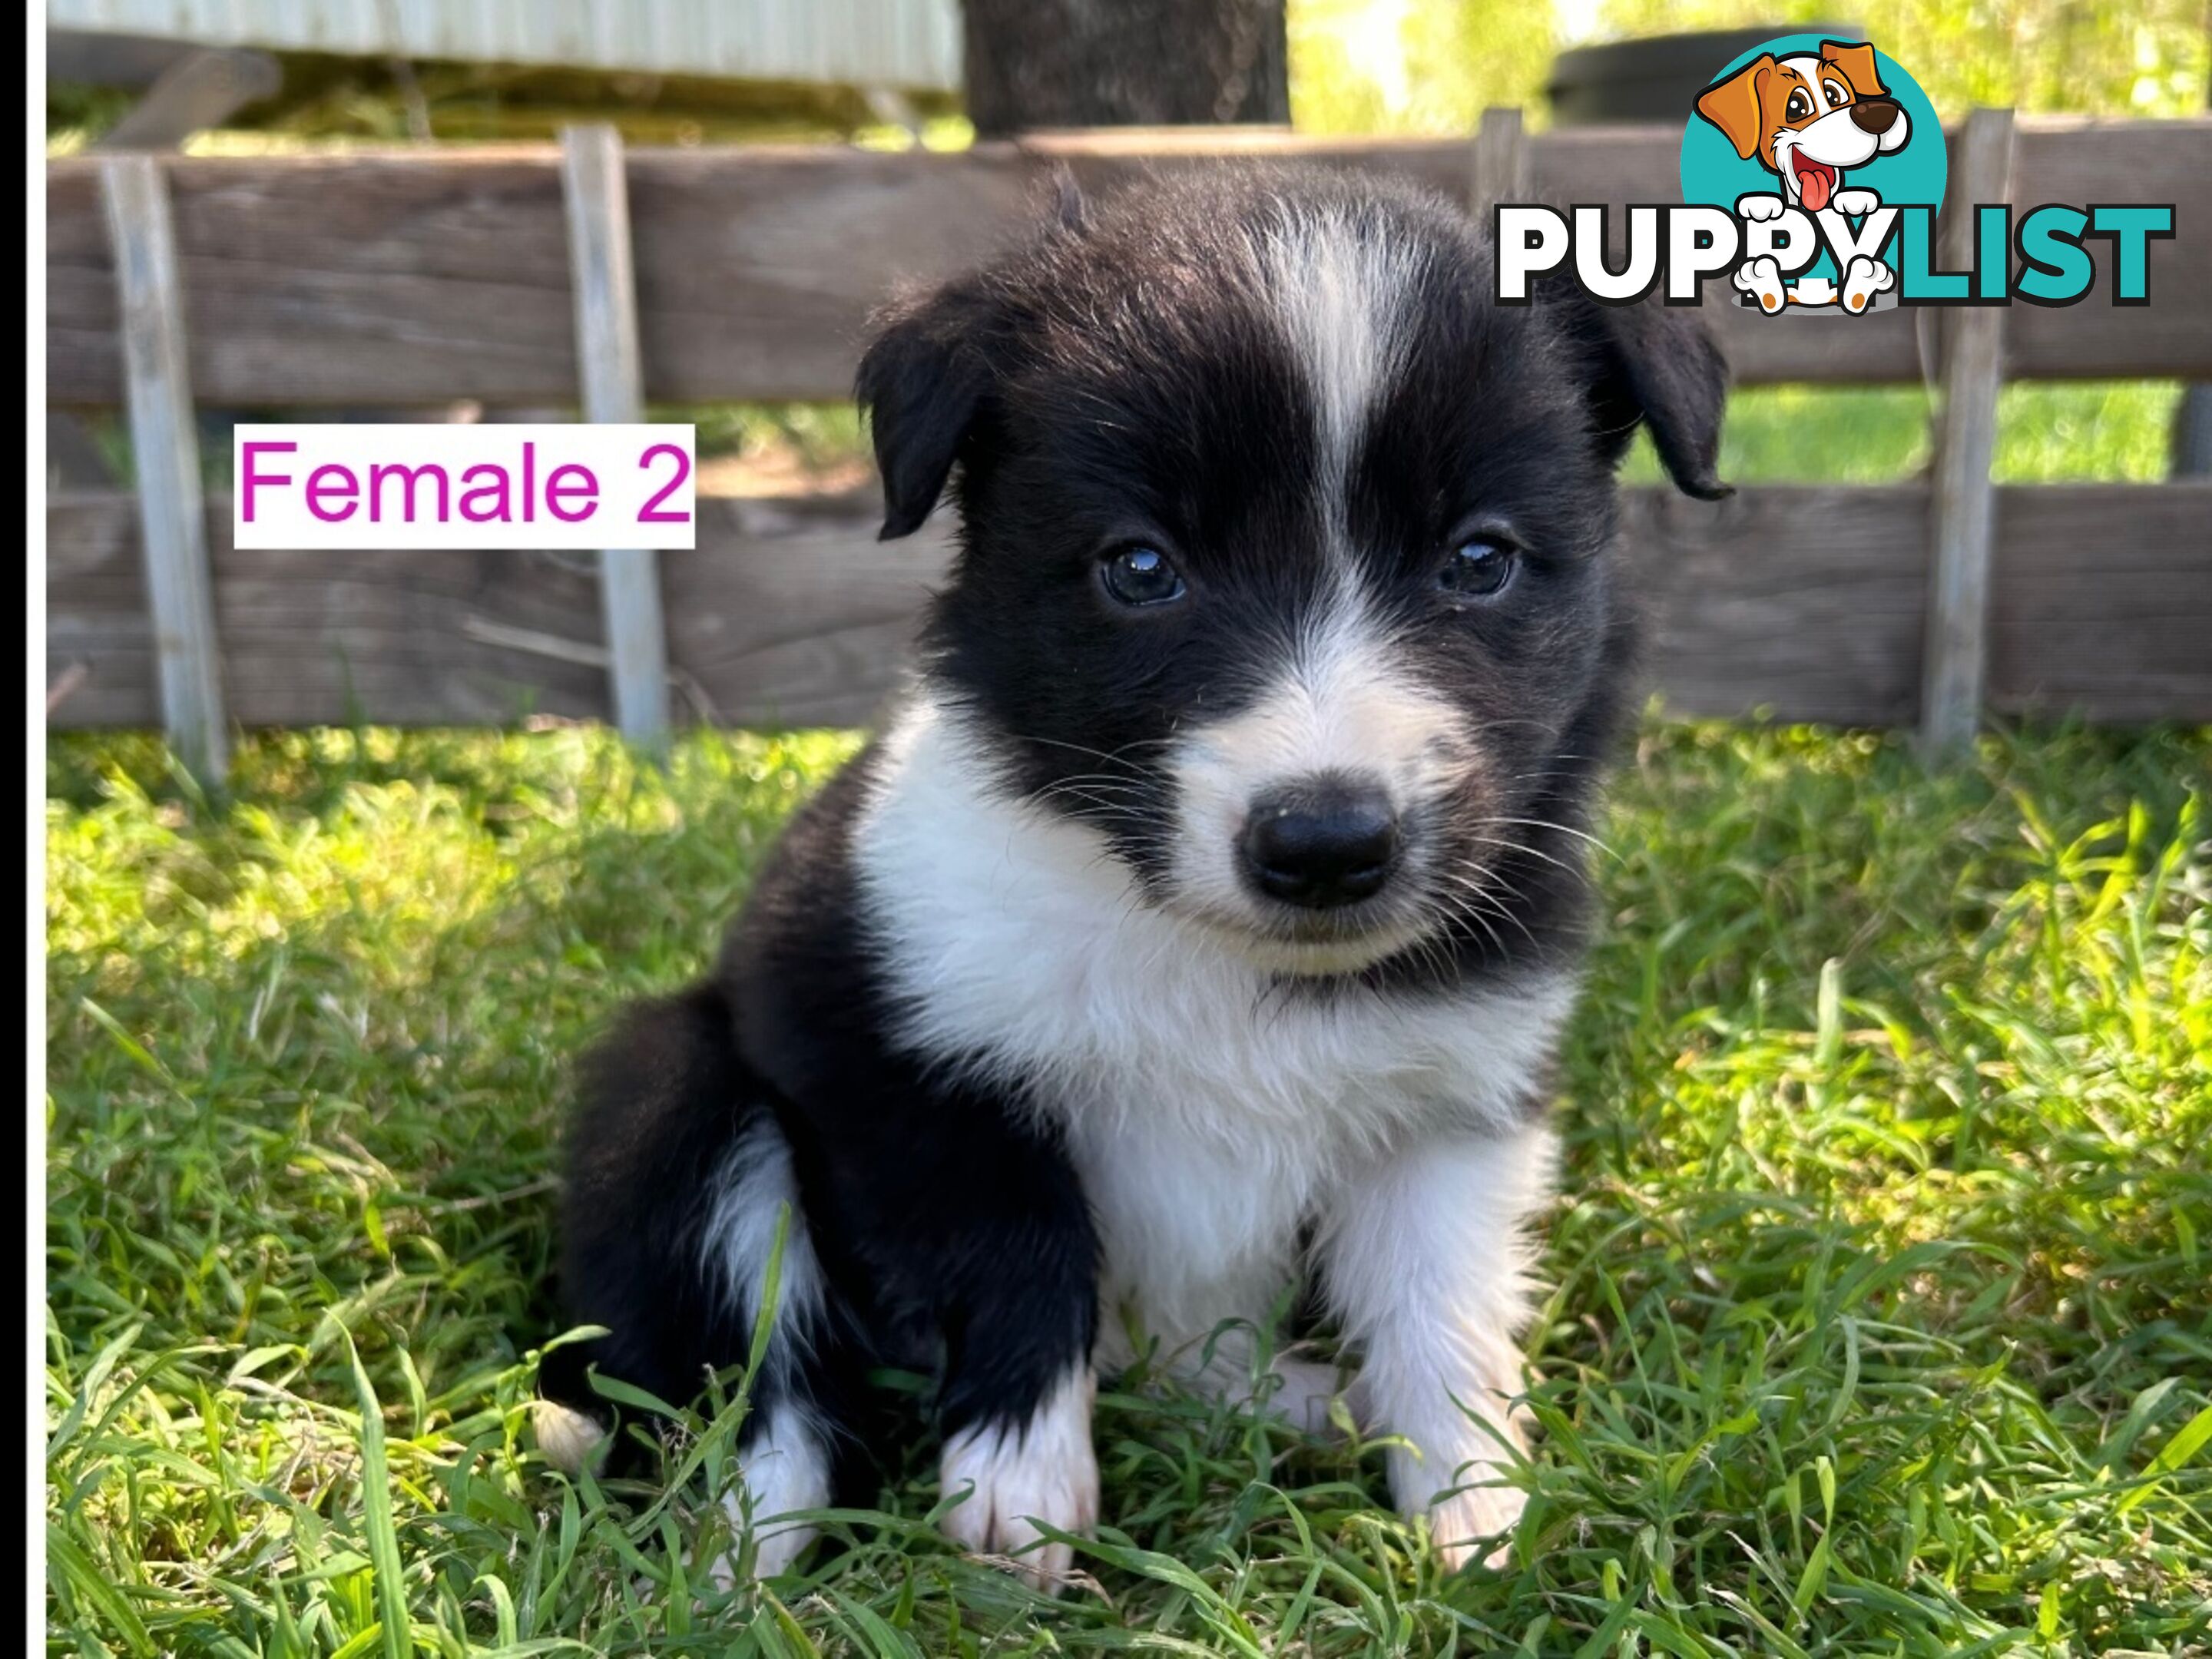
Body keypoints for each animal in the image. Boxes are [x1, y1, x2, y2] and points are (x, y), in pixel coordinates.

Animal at [535, 166, 1725, 1584]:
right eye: (1140, 568)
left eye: (1481, 560)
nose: (1326, 844)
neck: (1212, 954)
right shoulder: (881, 1041)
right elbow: (1015, 1240)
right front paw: (1019, 1487)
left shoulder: (1452, 1096)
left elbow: (1439, 1300)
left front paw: (1472, 1507)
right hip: (682, 1093)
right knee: (764, 1388)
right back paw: (737, 1563)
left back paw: (1306, 1402)